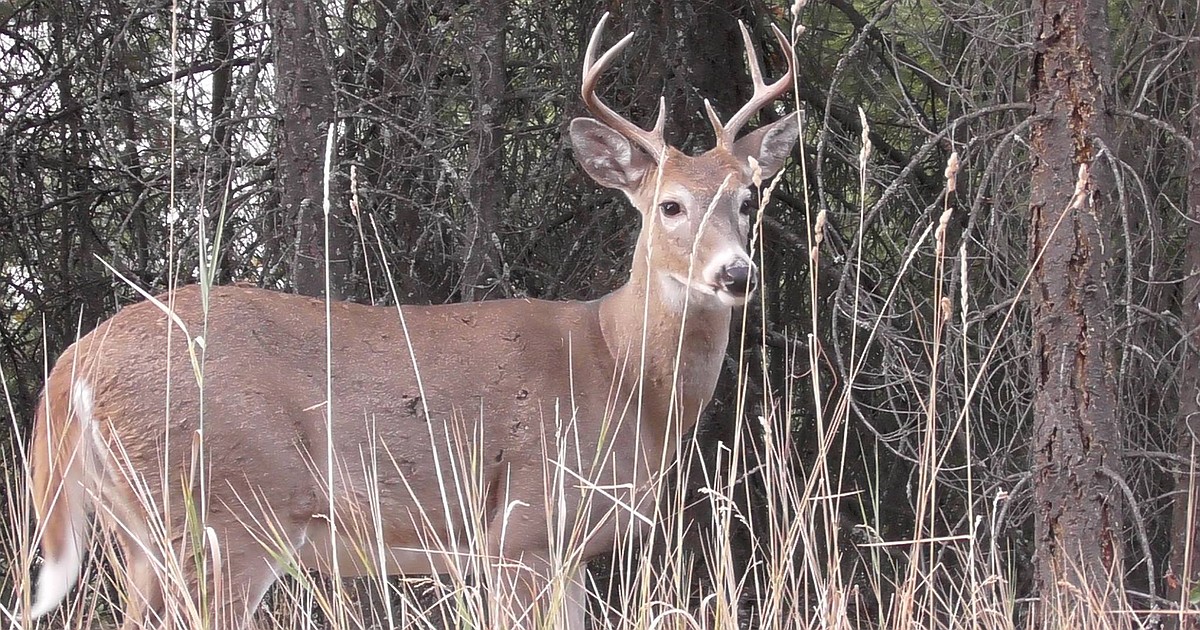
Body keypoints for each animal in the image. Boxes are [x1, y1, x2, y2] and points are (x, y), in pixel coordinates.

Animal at [23, 13, 798, 630]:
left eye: (748, 199)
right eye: (670, 205)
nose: (736, 274)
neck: (619, 369)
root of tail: (72, 368)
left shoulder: (568, 549)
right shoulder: (520, 528)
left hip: (144, 534)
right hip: (223, 514)